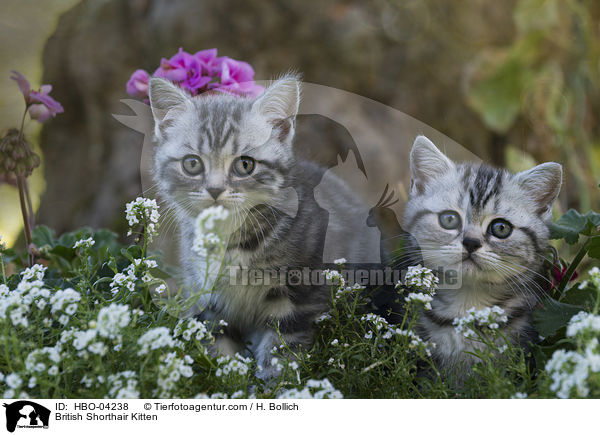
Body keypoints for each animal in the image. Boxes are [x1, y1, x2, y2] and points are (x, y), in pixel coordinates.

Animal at [148, 73, 368, 376]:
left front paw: (272, 383)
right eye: (192, 164)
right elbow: (221, 347)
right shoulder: (207, 298)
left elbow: (281, 351)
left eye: (245, 165)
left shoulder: (300, 297)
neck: (233, 243)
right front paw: (231, 378)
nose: (215, 190)